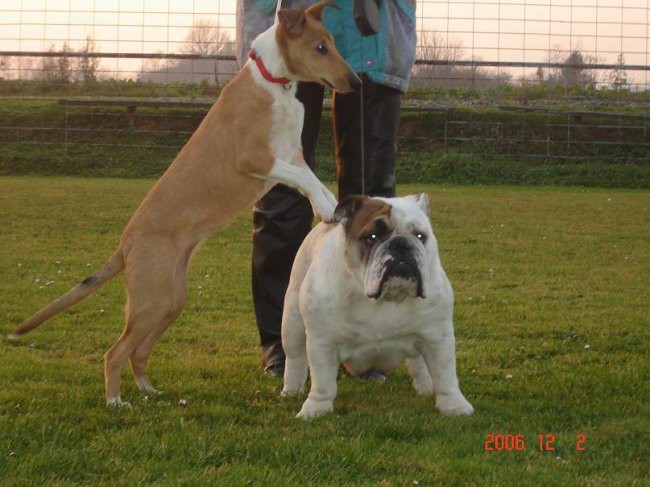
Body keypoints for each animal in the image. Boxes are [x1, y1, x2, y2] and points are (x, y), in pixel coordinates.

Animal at [6, 0, 360, 408]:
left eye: (332, 43)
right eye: (320, 47)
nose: (357, 83)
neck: (274, 83)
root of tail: (125, 245)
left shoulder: (292, 155)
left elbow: (311, 180)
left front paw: (332, 203)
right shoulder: (256, 159)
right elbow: (305, 181)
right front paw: (325, 206)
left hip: (169, 300)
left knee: (138, 352)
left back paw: (147, 389)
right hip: (151, 301)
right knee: (114, 353)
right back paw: (115, 401)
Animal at [278, 194, 470, 420]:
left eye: (420, 236)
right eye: (372, 235)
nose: (401, 244)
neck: (387, 298)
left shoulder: (438, 336)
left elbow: (446, 374)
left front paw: (454, 406)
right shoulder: (322, 342)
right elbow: (323, 381)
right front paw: (316, 408)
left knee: (419, 362)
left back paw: (426, 386)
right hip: (292, 324)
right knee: (295, 358)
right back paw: (291, 391)